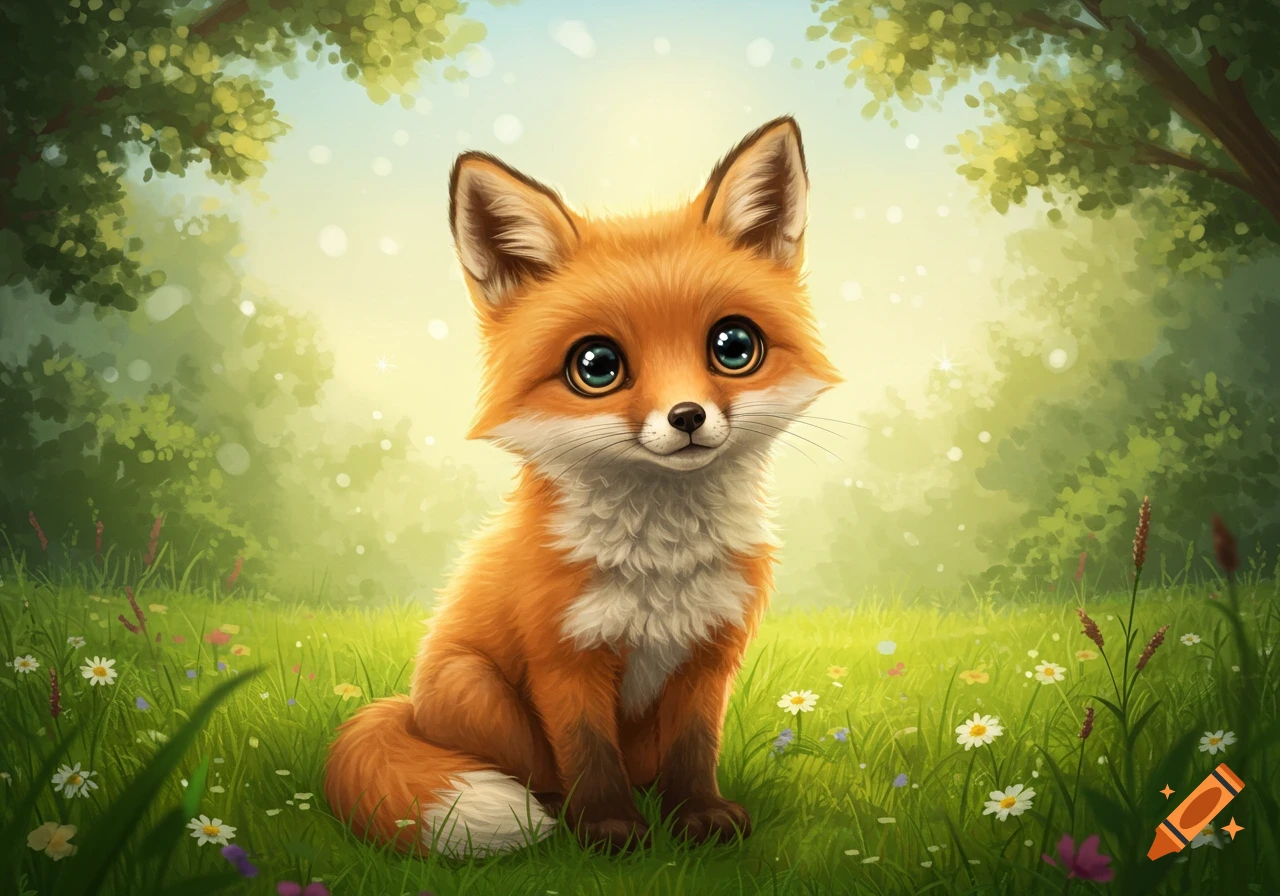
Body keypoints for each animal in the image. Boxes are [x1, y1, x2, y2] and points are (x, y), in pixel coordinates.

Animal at [323, 116, 841, 858]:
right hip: (474, 686)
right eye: (596, 366)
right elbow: (588, 754)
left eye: (734, 347)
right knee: (532, 771)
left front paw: (697, 816)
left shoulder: (709, 654)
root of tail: (411, 710)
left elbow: (695, 749)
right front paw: (608, 831)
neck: (662, 563)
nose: (687, 417)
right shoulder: (565, 657)